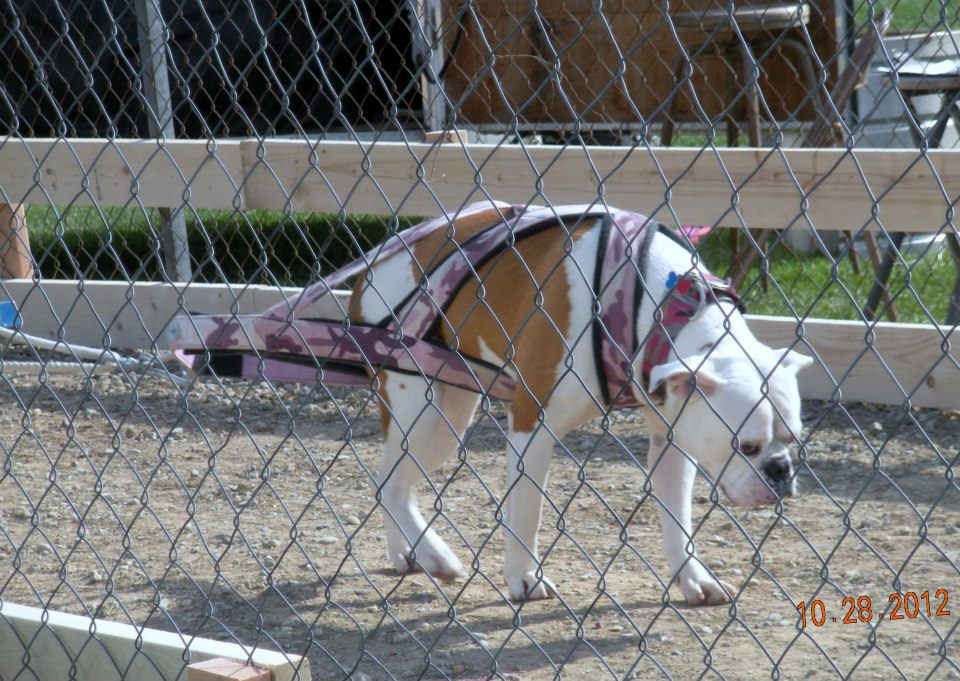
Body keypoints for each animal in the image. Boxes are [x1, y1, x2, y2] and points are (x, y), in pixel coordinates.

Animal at [344, 202, 808, 604]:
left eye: (794, 440)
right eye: (745, 446)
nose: (781, 471)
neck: (664, 306)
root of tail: (374, 263)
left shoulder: (674, 440)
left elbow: (679, 519)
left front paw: (694, 577)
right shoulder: (531, 425)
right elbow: (526, 512)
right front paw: (525, 577)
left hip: (447, 417)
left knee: (395, 481)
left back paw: (410, 554)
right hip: (422, 413)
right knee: (391, 483)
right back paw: (433, 554)